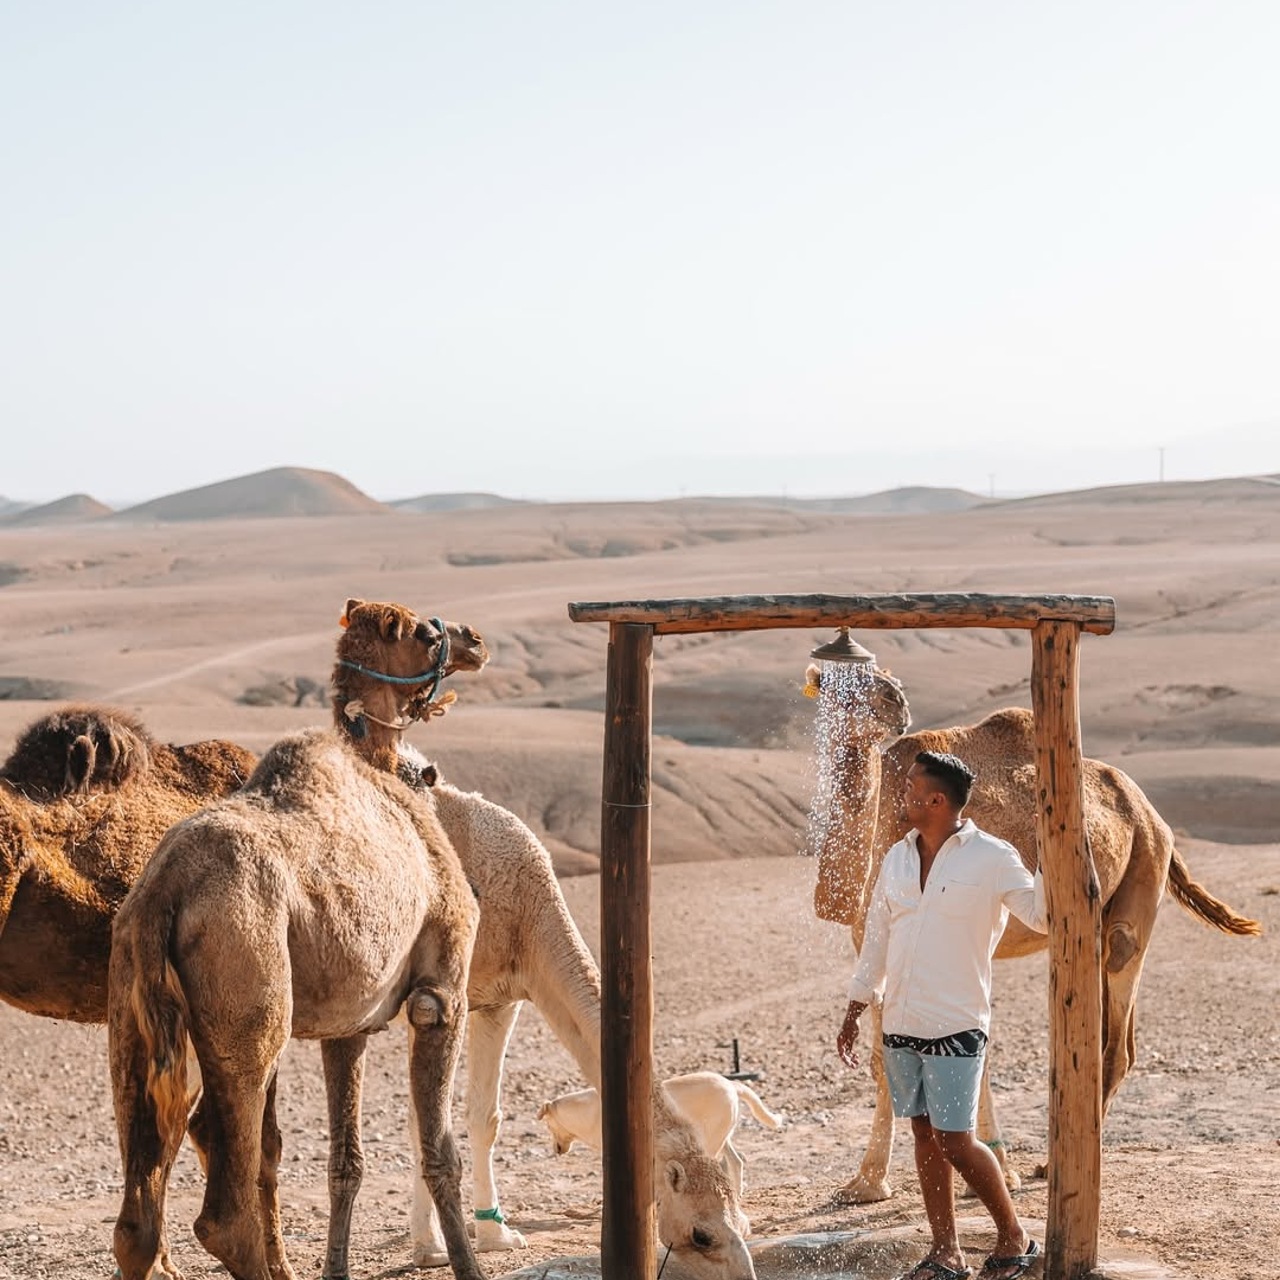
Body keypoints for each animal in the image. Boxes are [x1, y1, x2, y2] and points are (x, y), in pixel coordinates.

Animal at [108, 601, 493, 1280]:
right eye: (426, 632)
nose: (472, 639)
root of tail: (163, 894)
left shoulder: (349, 1022)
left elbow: (347, 1161)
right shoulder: (442, 993)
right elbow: (441, 1153)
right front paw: (468, 1267)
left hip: (131, 1006)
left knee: (136, 1221)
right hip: (248, 989)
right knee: (223, 1211)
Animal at [803, 659, 1262, 1204]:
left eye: (875, 677)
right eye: (838, 684)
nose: (895, 698)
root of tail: (1150, 811)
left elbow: (971, 1053)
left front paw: (997, 1171)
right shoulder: (873, 935)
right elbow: (883, 1060)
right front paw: (865, 1183)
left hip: (1141, 878)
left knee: (1118, 1011)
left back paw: (1060, 1164)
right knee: (1114, 1035)